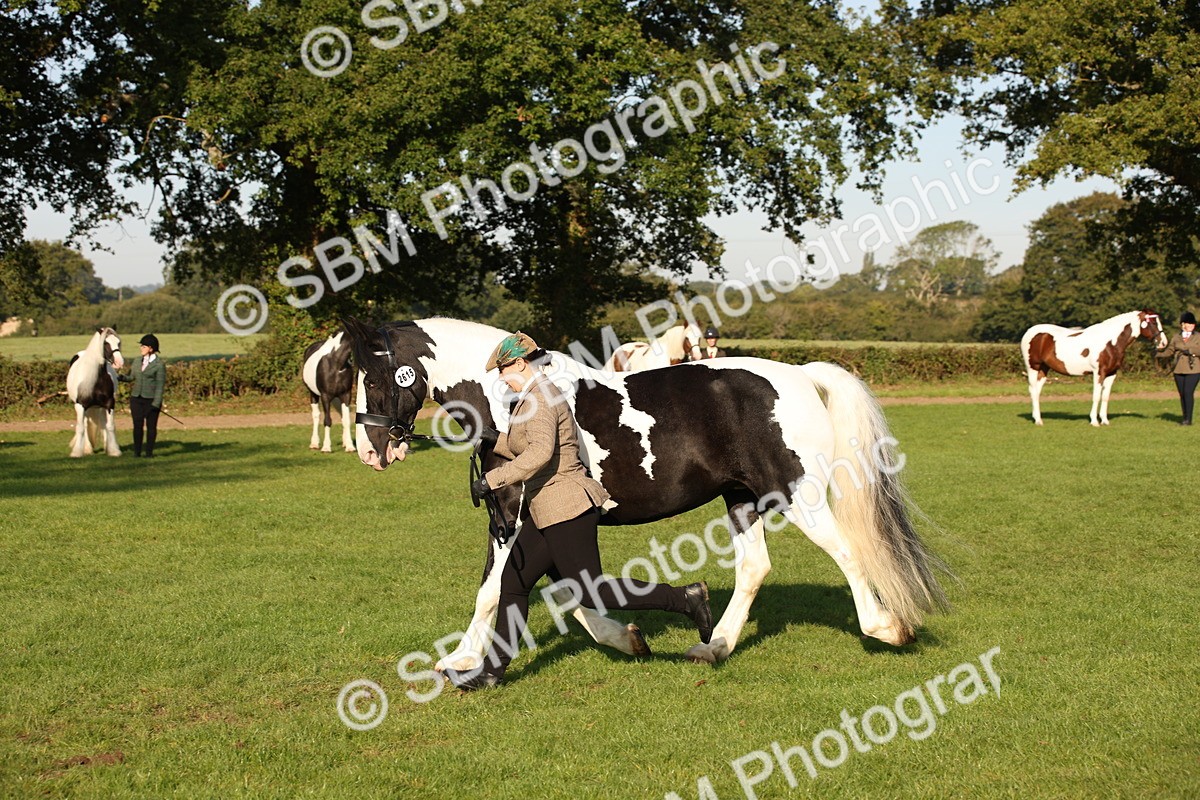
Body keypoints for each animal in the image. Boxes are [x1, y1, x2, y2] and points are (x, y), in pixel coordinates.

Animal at [66, 327, 124, 457]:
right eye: (105, 343)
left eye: (118, 342)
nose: (119, 362)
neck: (97, 378)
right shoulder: (81, 405)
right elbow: (81, 428)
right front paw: (77, 452)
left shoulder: (109, 404)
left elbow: (110, 426)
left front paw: (114, 451)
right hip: (84, 408)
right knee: (85, 424)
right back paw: (87, 448)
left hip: (100, 408)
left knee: (103, 423)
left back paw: (106, 447)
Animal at [343, 316, 948, 672]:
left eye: (372, 377)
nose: (371, 450)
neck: (508, 403)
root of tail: (799, 375)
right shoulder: (537, 522)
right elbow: (567, 591)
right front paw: (623, 637)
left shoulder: (513, 516)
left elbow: (494, 591)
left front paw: (463, 661)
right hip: (741, 499)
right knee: (755, 568)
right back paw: (714, 645)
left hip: (797, 496)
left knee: (847, 552)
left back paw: (886, 628)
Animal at [1021, 309, 1166, 426]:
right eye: (1153, 322)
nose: (1163, 343)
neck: (1110, 342)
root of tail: (1029, 332)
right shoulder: (1099, 373)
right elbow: (1096, 395)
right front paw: (1094, 421)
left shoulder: (1111, 373)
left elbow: (1105, 396)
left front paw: (1105, 421)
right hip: (1033, 368)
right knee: (1033, 390)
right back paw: (1038, 421)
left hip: (1043, 369)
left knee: (1036, 391)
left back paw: (1037, 417)